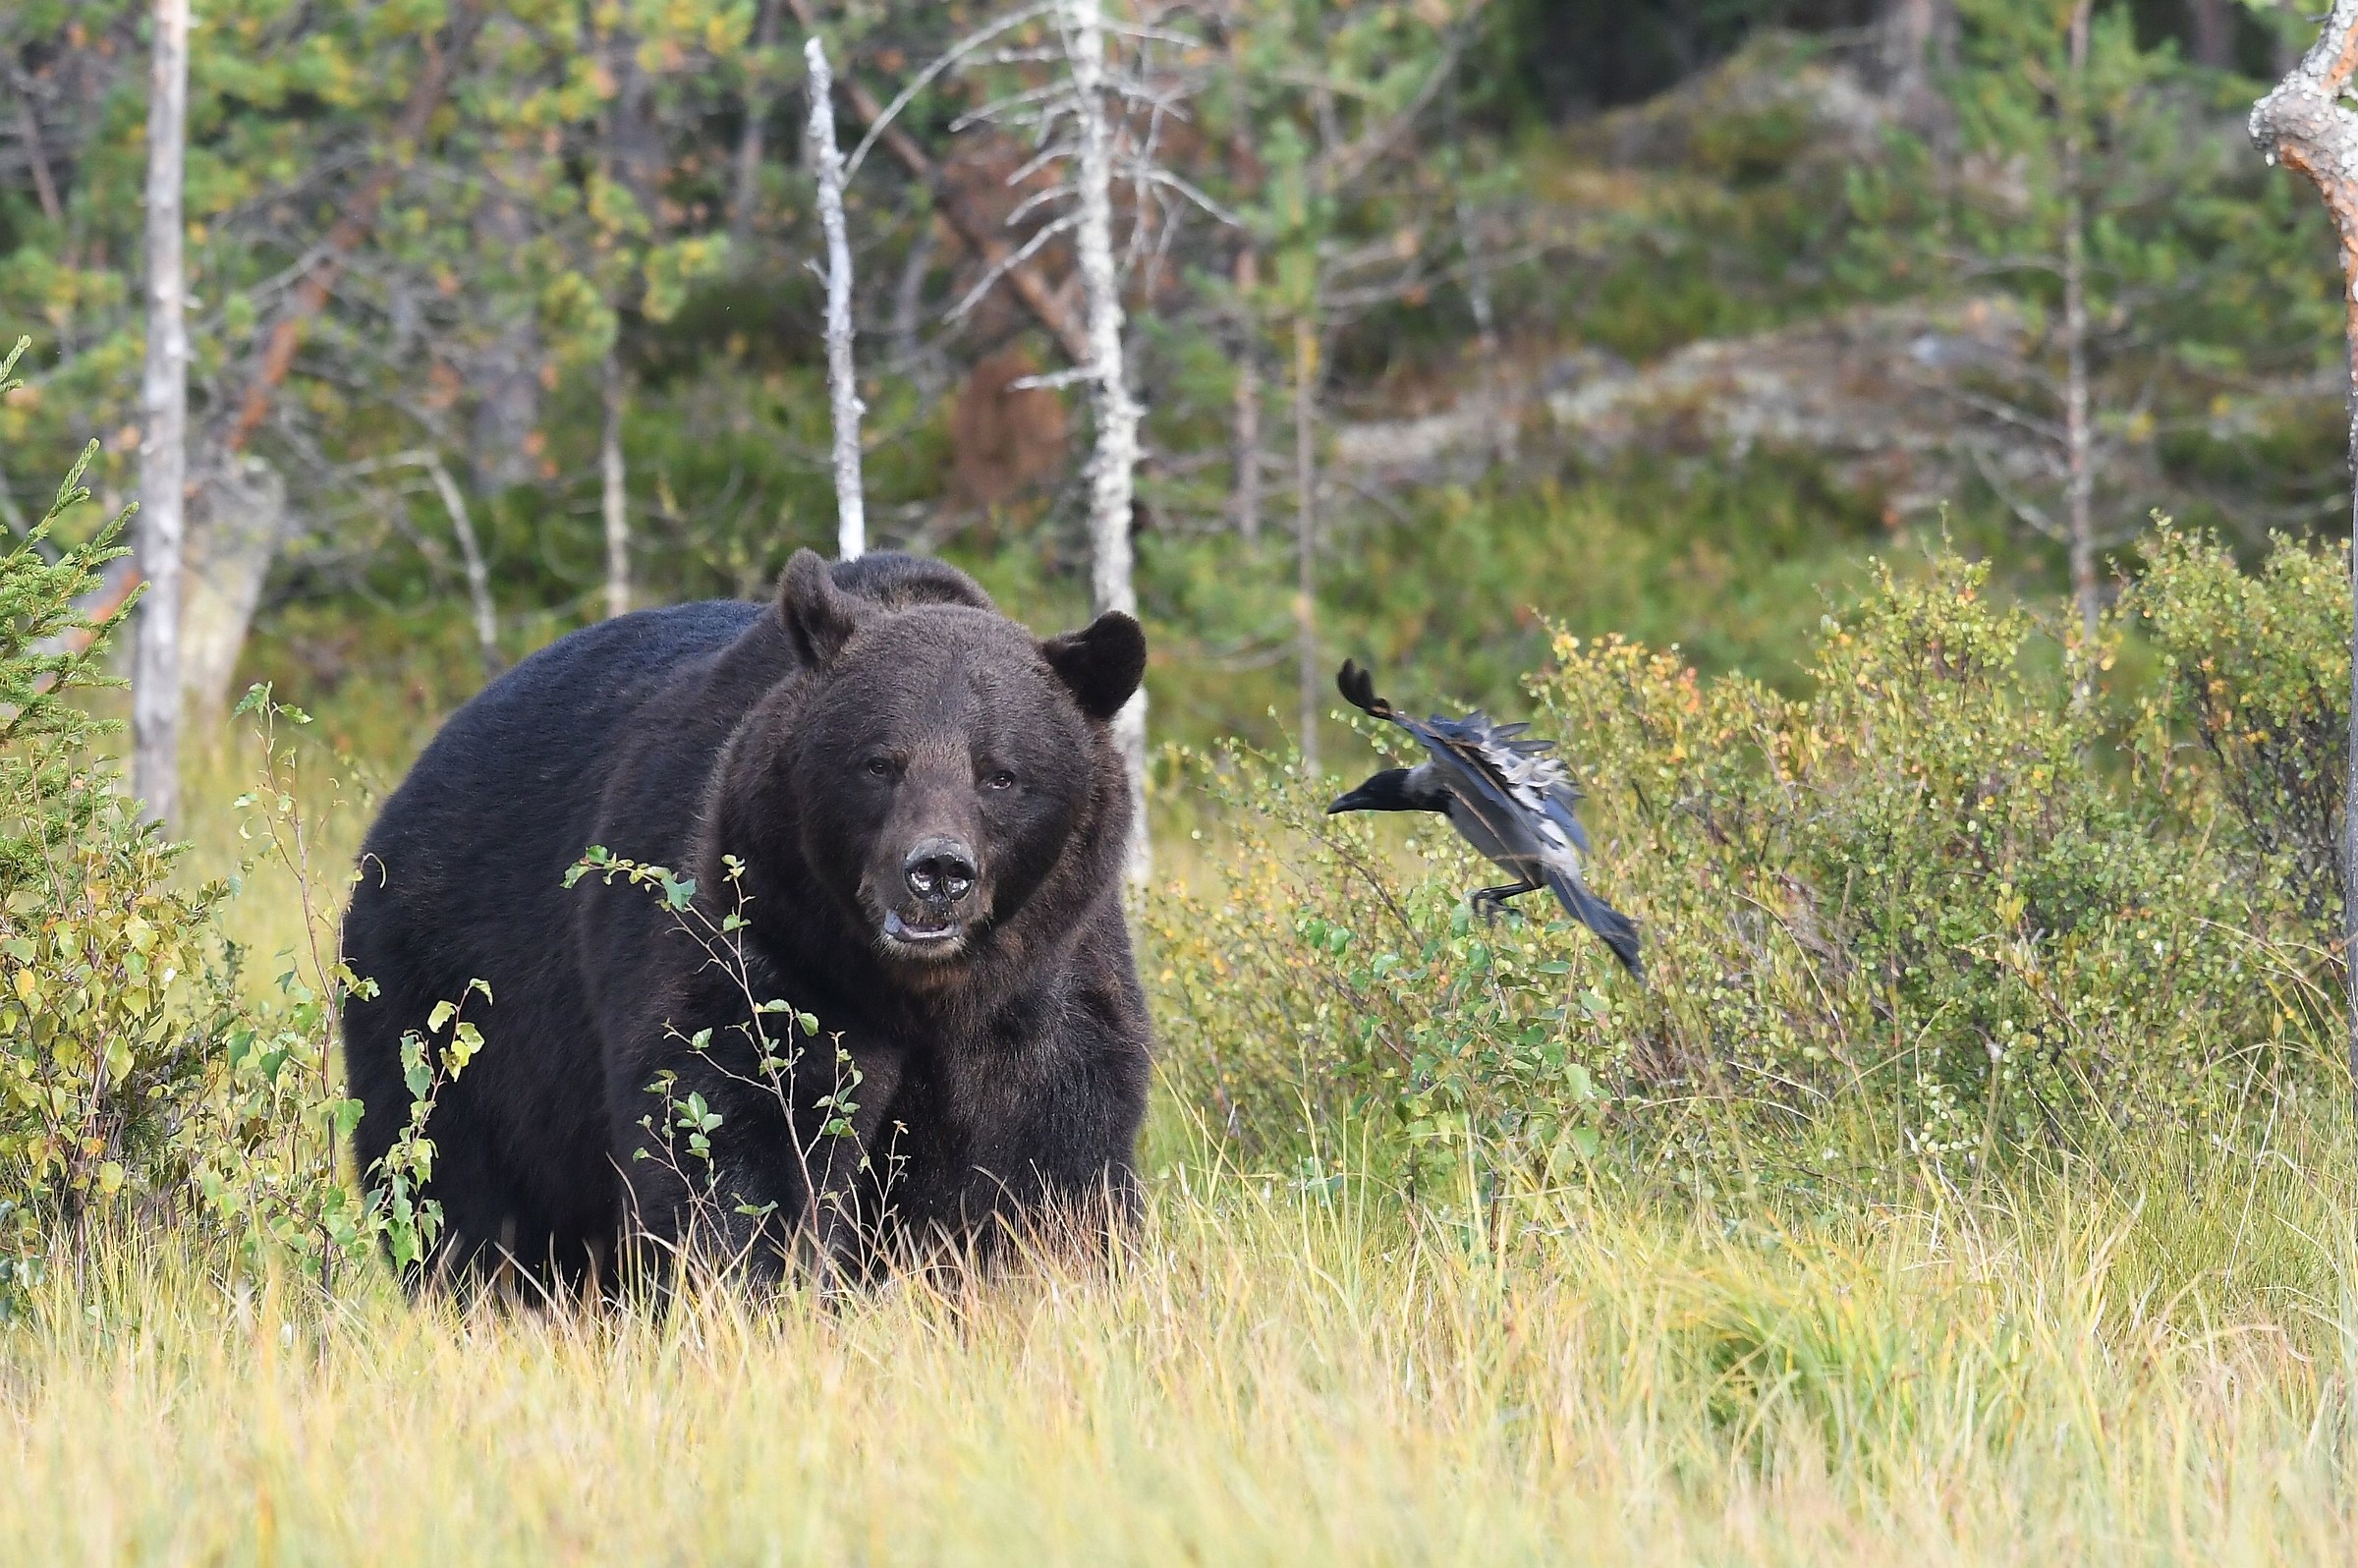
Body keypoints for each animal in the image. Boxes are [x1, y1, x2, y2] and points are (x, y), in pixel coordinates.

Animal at [338, 549, 1153, 1288]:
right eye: (879, 762)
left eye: (1001, 774)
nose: (938, 872)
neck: (919, 992)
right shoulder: (763, 950)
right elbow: (735, 1132)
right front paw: (755, 1285)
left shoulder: (1042, 984)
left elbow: (1045, 1157)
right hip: (447, 1009)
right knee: (451, 1185)